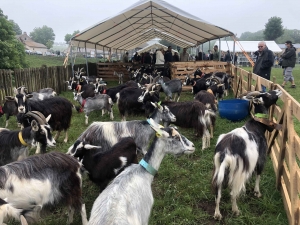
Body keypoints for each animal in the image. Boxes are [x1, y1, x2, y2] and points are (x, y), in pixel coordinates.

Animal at [212, 89, 282, 220]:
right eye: (268, 95)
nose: (278, 90)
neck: (258, 126)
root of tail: (225, 152)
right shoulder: (261, 158)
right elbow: (258, 174)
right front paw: (257, 192)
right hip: (238, 171)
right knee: (233, 193)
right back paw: (236, 210)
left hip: (219, 169)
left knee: (217, 193)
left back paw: (217, 214)